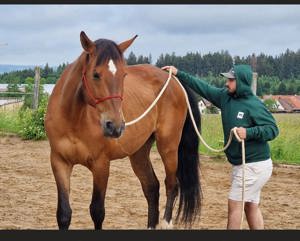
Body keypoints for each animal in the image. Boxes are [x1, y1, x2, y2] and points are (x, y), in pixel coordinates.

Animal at [44, 31, 203, 229]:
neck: (73, 118)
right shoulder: (59, 162)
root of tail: (172, 79)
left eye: (124, 75)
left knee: (171, 185)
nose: (115, 126)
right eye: (95, 74)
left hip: (169, 147)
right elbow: (64, 214)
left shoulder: (101, 165)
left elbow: (97, 211)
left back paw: (166, 223)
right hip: (139, 152)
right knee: (152, 187)